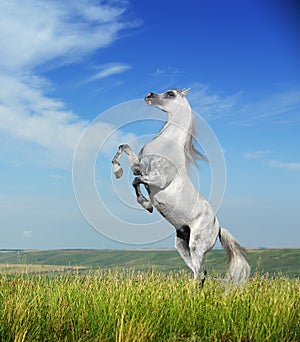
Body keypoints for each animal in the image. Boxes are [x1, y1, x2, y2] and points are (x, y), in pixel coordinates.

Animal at [111, 89, 250, 286]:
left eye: (171, 94)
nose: (148, 95)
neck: (166, 144)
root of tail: (218, 227)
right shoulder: (139, 167)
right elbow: (123, 147)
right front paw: (118, 171)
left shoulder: (156, 179)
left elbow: (136, 181)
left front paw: (147, 205)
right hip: (182, 245)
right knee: (201, 272)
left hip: (196, 246)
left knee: (199, 272)